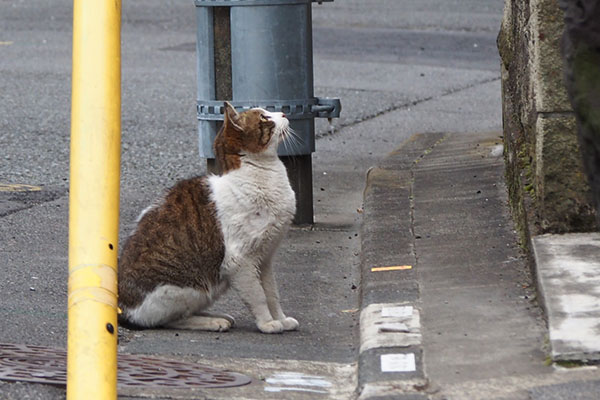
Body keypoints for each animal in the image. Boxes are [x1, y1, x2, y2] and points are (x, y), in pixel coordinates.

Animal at [118, 101, 298, 332]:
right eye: (264, 118)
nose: (283, 113)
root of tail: (123, 308)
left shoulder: (265, 259)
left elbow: (272, 294)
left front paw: (281, 319)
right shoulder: (239, 261)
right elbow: (258, 296)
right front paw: (268, 323)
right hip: (189, 289)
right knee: (169, 320)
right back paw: (213, 322)